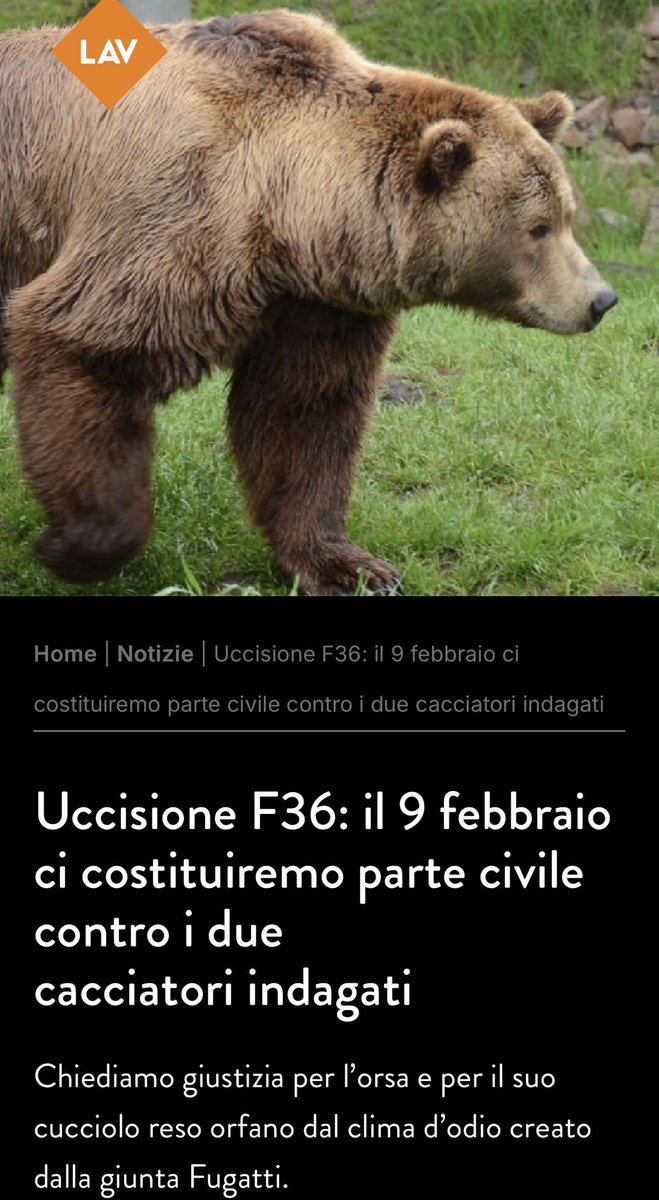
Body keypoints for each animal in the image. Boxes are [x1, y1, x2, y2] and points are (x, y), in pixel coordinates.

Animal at [0, 9, 617, 595]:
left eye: (567, 215)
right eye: (537, 228)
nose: (602, 299)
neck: (288, 221)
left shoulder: (315, 303)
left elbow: (303, 411)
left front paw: (350, 566)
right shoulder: (172, 220)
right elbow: (85, 348)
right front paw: (74, 547)